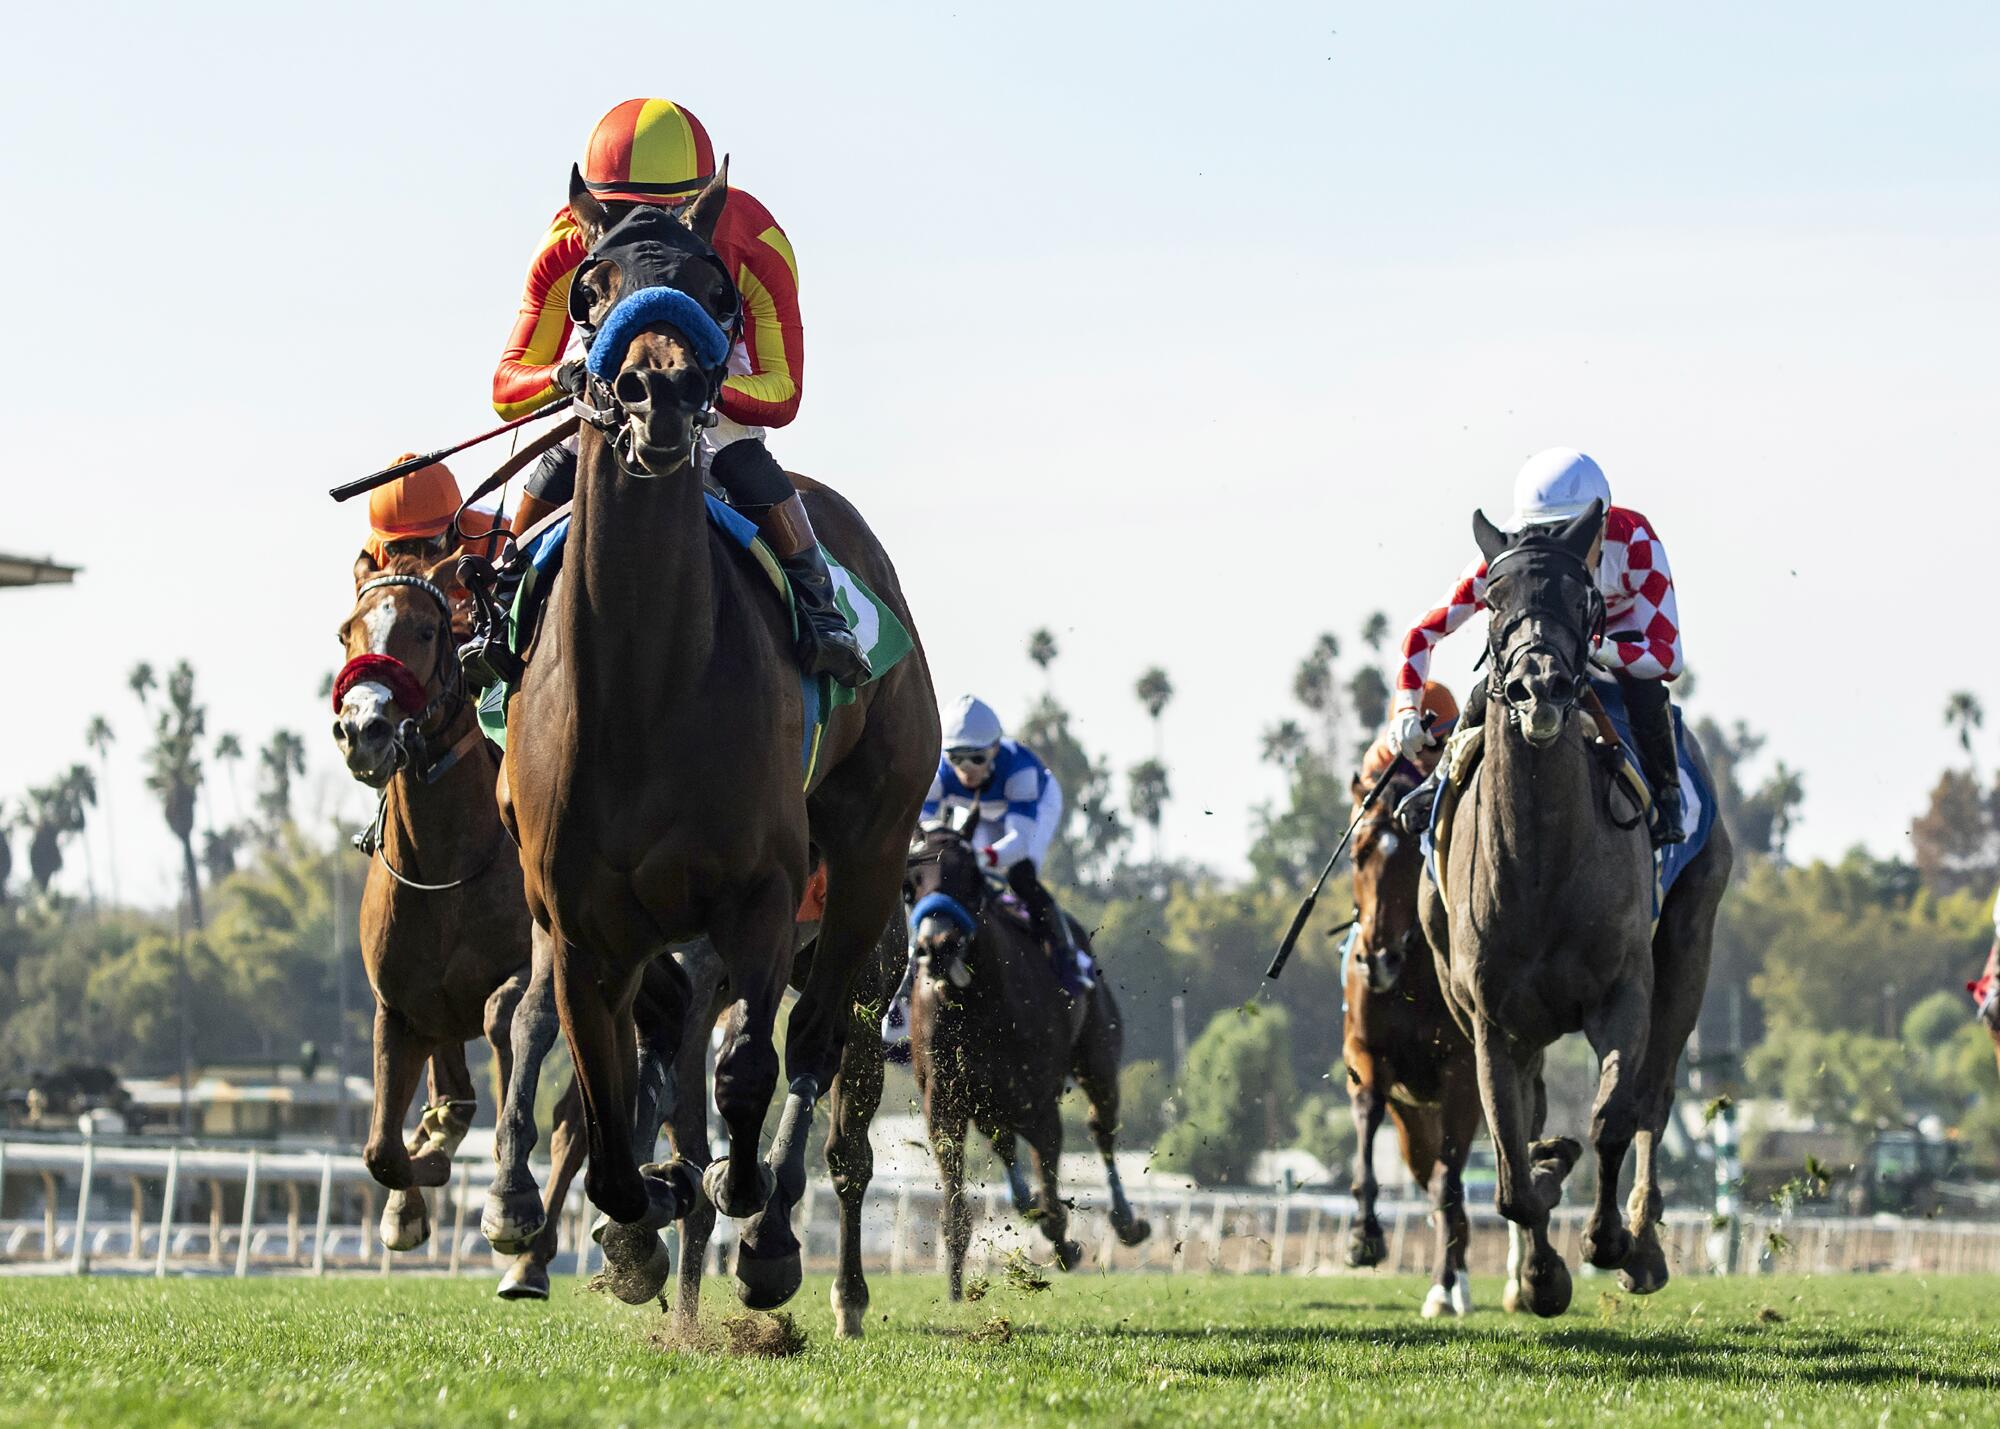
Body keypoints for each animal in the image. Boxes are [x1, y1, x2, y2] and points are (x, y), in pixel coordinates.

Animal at [500, 172, 936, 1328]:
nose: (658, 390)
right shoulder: (581, 925)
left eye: (711, 285)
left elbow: (746, 1066)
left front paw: (744, 1218)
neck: (646, 686)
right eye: (592, 284)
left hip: (867, 862)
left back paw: (774, 1232)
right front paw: (635, 1224)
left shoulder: (763, 891)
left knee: (815, 1043)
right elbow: (607, 1114)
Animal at [904, 812, 1152, 1288]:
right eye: (910, 887)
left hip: (1097, 1059)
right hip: (990, 1098)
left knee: (1101, 1128)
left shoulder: (1039, 1103)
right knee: (1003, 1141)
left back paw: (1126, 1221)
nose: (938, 947)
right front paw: (956, 1285)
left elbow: (1053, 1187)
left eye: (969, 878)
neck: (975, 1003)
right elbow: (956, 1210)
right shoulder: (944, 1101)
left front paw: (1066, 1245)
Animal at [1344, 756, 1488, 1312]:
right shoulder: (1367, 1053)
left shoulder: (1463, 1072)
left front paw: (1445, 1286)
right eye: (1358, 854)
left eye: (1412, 856)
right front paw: (1364, 1236)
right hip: (1412, 1123)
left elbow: (1452, 1183)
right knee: (1430, 1175)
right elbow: (1367, 1114)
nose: (1376, 960)